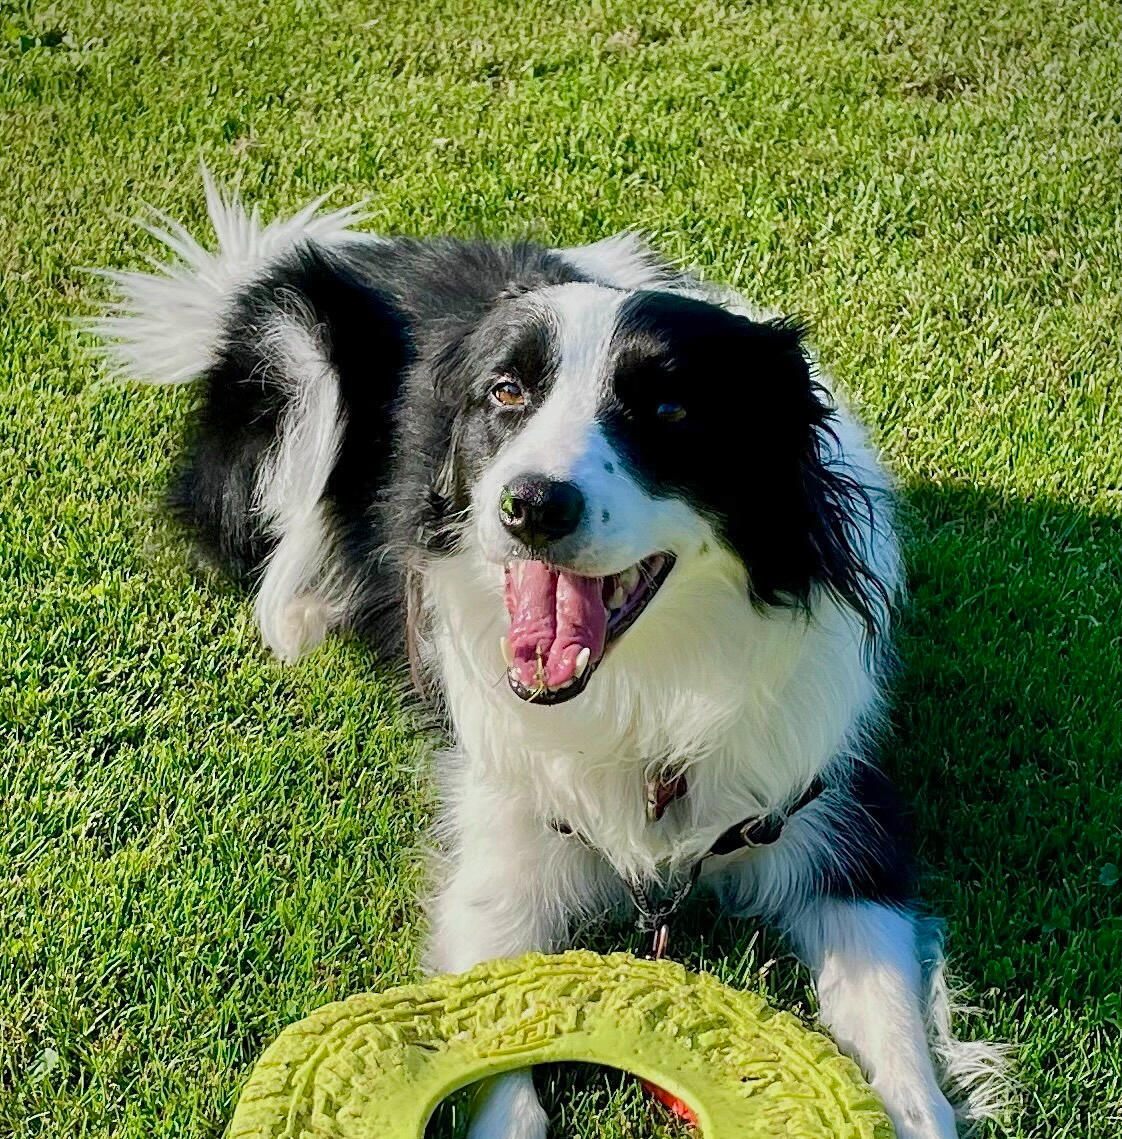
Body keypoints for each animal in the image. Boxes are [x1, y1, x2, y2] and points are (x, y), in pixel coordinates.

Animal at [96, 175, 1006, 1139]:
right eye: (505, 393)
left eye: (671, 412)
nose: (530, 504)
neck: (651, 690)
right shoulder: (500, 849)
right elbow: (507, 1054)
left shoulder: (839, 813)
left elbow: (896, 1040)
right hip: (297, 355)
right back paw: (305, 616)